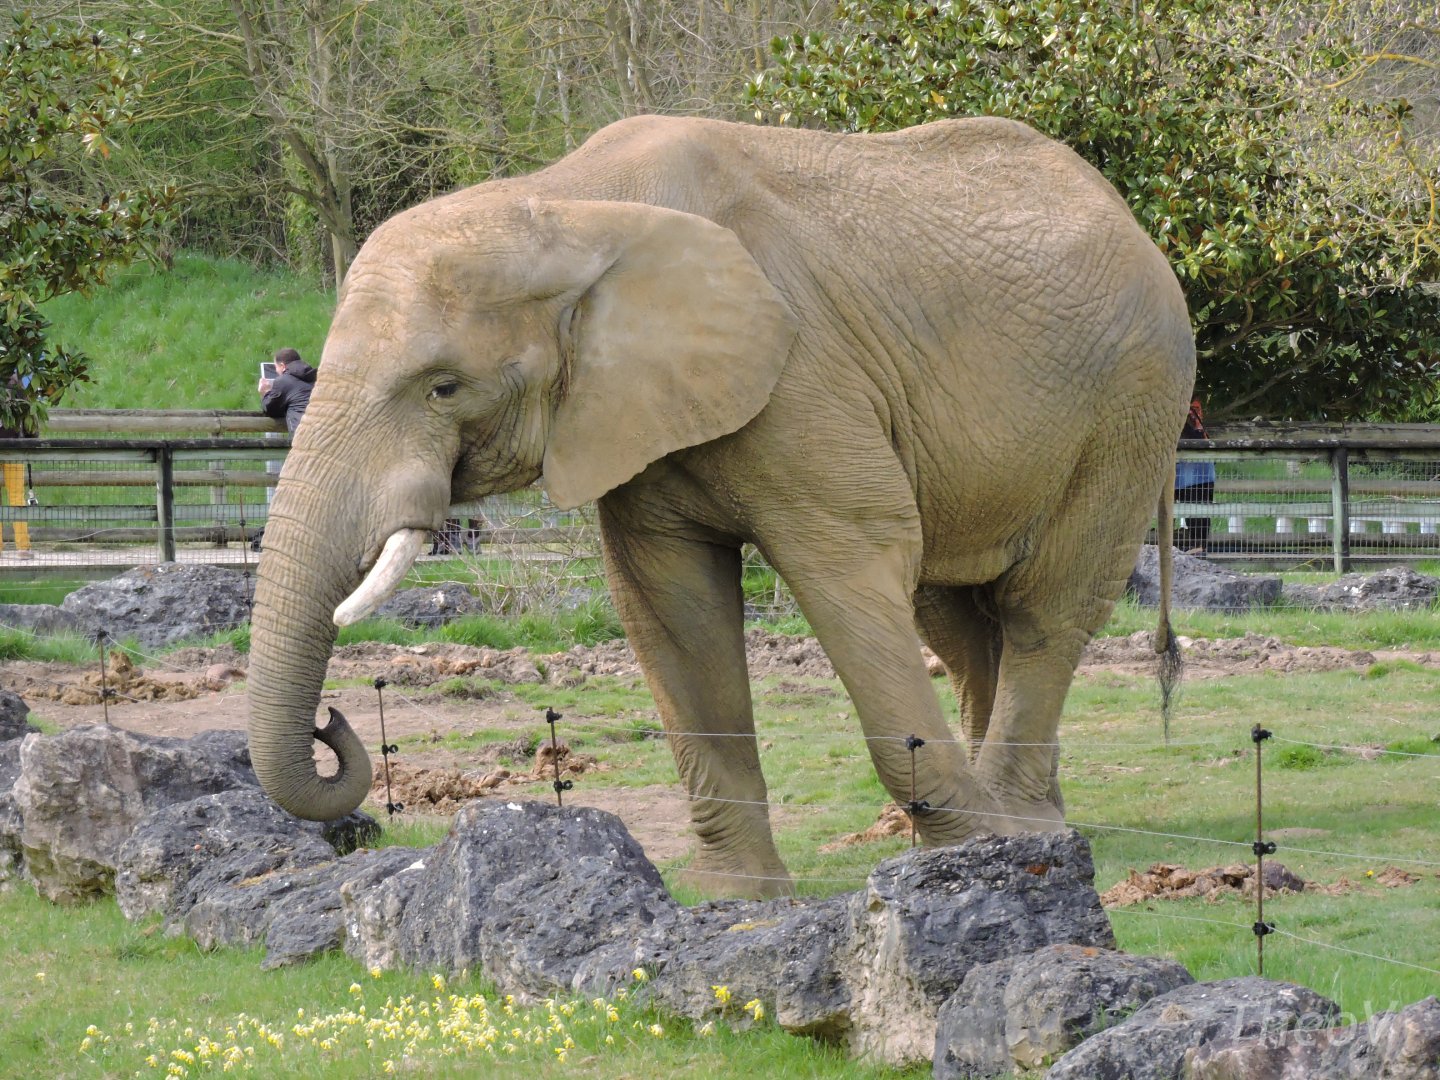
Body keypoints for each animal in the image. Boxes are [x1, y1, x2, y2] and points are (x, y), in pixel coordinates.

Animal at [247, 114, 1193, 899]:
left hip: (1132, 404)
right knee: (956, 619)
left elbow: (853, 566)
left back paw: (1024, 831)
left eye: (443, 387)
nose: (332, 721)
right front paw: (738, 899)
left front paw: (971, 858)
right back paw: (1038, 820)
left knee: (1043, 609)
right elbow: (673, 607)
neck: (565, 203)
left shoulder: (804, 369)